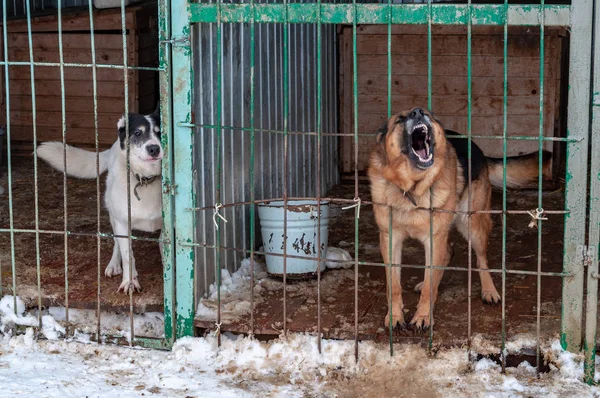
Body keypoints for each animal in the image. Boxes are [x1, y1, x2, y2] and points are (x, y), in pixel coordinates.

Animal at [38, 107, 164, 294]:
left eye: (160, 132)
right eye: (137, 133)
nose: (154, 149)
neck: (145, 179)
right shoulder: (122, 221)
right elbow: (127, 255)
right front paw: (129, 281)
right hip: (113, 215)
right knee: (119, 245)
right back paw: (116, 266)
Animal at [368, 107, 552, 328]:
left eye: (428, 114)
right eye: (400, 119)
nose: (418, 112)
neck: (412, 189)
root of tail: (474, 145)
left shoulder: (434, 238)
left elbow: (430, 284)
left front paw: (423, 316)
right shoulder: (390, 239)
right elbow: (393, 285)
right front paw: (395, 316)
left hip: (471, 224)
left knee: (481, 259)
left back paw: (489, 291)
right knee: (447, 253)